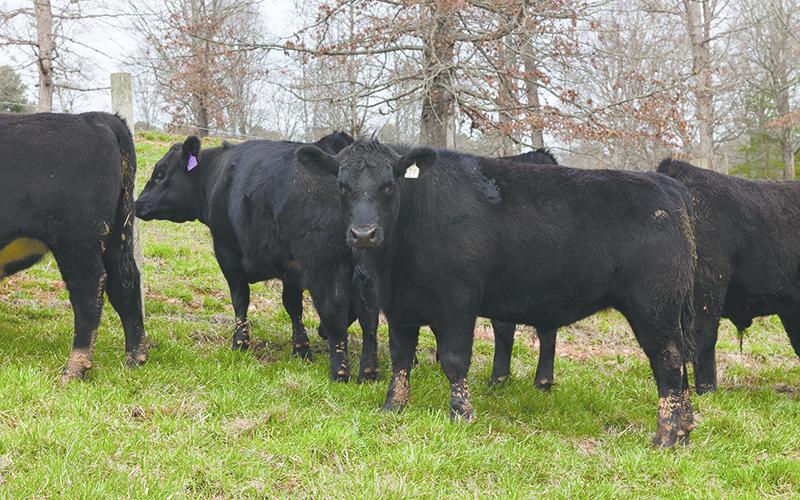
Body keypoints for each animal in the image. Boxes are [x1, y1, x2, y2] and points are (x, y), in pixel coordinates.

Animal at [0, 112, 148, 383]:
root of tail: (94, 118)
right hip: (118, 234)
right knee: (125, 282)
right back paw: (136, 357)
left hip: (76, 240)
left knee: (89, 288)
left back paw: (74, 369)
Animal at [134, 132, 380, 382]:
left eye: (160, 174)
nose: (138, 203)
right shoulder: (290, 268)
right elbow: (292, 306)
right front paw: (301, 350)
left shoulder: (228, 255)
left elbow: (240, 299)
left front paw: (240, 344)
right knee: (369, 315)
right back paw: (368, 373)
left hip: (324, 268)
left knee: (334, 310)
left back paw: (340, 372)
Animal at [297, 138, 697, 447]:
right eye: (342, 185)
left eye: (389, 185)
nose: (363, 233)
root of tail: (666, 186)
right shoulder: (399, 307)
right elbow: (400, 357)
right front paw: (394, 406)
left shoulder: (458, 302)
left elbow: (454, 359)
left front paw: (462, 413)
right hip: (671, 310)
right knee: (682, 366)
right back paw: (685, 430)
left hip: (653, 306)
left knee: (668, 363)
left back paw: (664, 438)